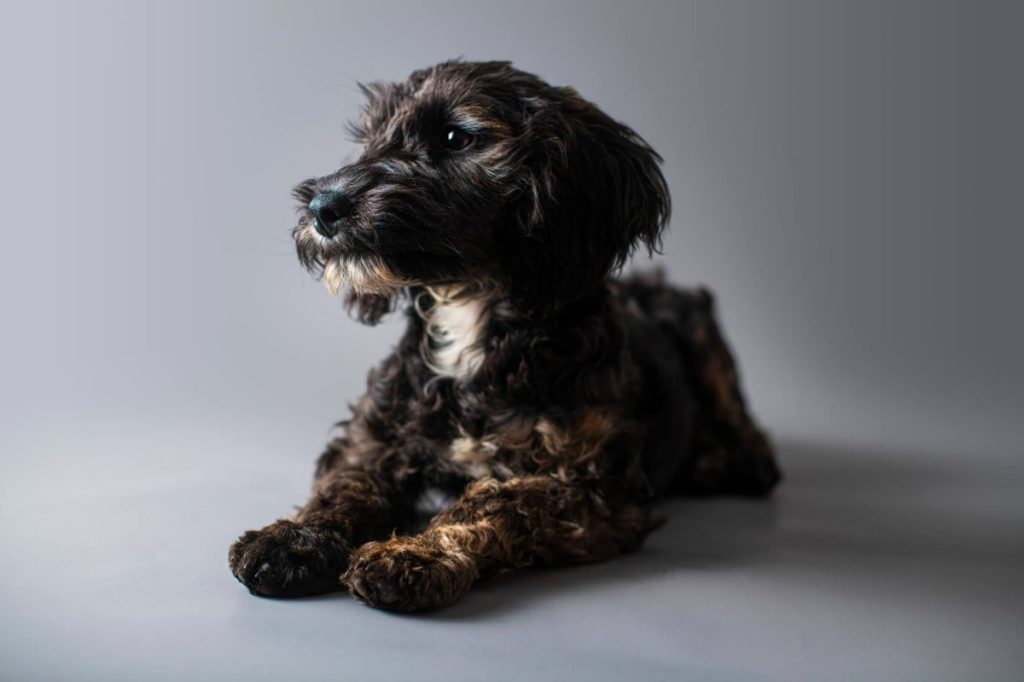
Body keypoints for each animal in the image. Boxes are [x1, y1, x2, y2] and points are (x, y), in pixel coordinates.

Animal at [228, 59, 778, 610]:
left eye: (455, 137)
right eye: (369, 138)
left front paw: (415, 553)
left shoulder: (594, 489)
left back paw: (732, 460)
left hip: (699, 325)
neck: (468, 316)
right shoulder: (367, 440)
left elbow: (497, 501)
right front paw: (292, 539)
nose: (322, 207)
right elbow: (346, 485)